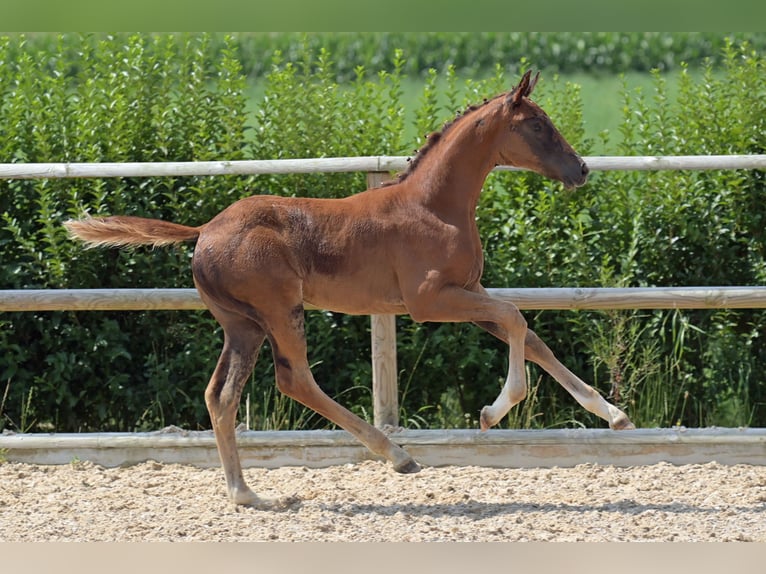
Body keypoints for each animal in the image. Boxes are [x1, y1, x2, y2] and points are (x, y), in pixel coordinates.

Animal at [66, 71, 632, 508]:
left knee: (221, 395)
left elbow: (531, 337)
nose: (582, 170)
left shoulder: (468, 292)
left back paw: (247, 495)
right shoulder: (431, 301)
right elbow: (517, 317)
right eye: (536, 124)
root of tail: (203, 230)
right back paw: (398, 456)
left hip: (242, 324)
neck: (432, 206)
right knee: (294, 379)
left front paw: (614, 415)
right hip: (280, 311)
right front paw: (494, 411)